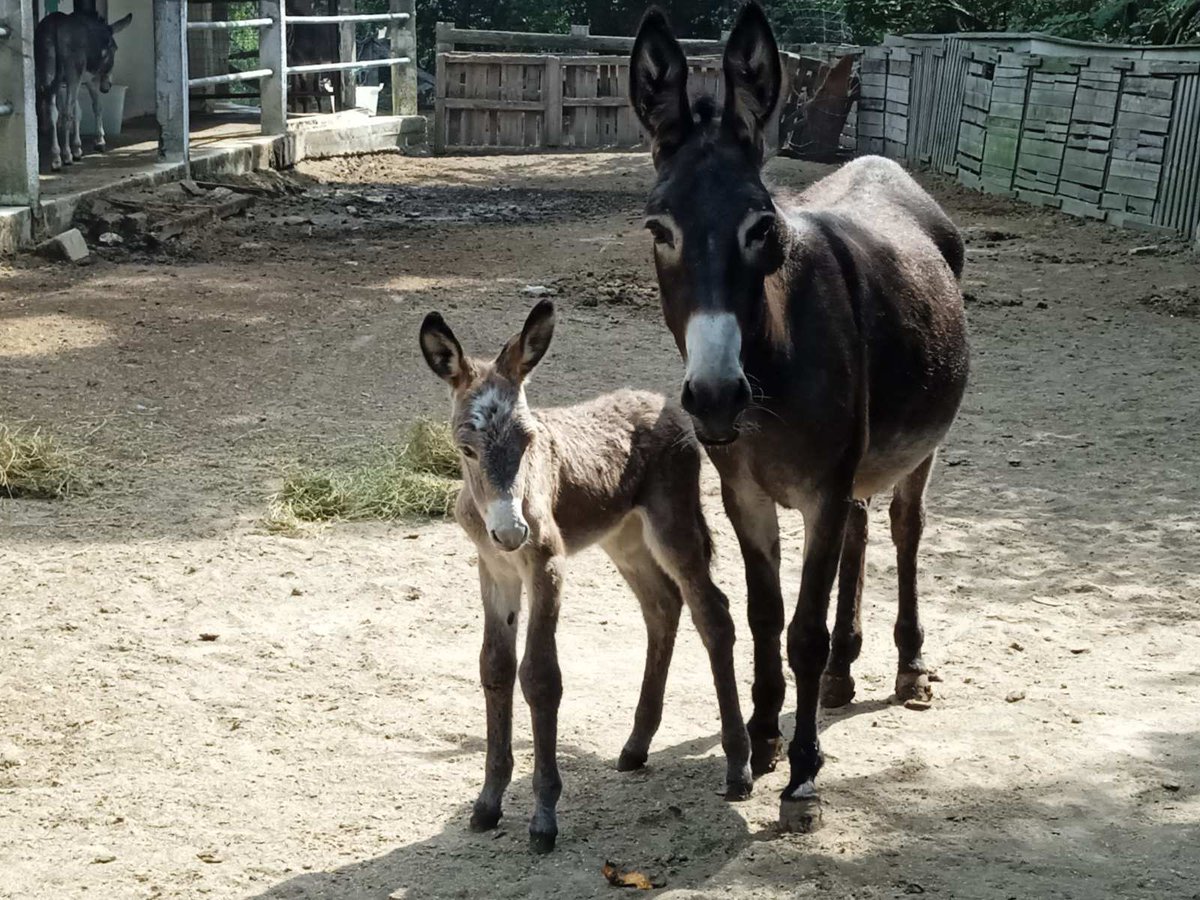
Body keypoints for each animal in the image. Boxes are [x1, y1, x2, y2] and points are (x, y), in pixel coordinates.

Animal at [422, 301, 748, 854]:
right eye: (466, 449)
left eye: (528, 440)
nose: (511, 530)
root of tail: (661, 400)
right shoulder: (494, 568)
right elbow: (495, 668)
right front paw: (487, 803)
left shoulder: (545, 563)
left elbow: (539, 676)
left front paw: (544, 817)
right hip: (625, 539)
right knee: (662, 607)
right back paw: (637, 745)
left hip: (672, 528)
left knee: (714, 615)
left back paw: (738, 768)